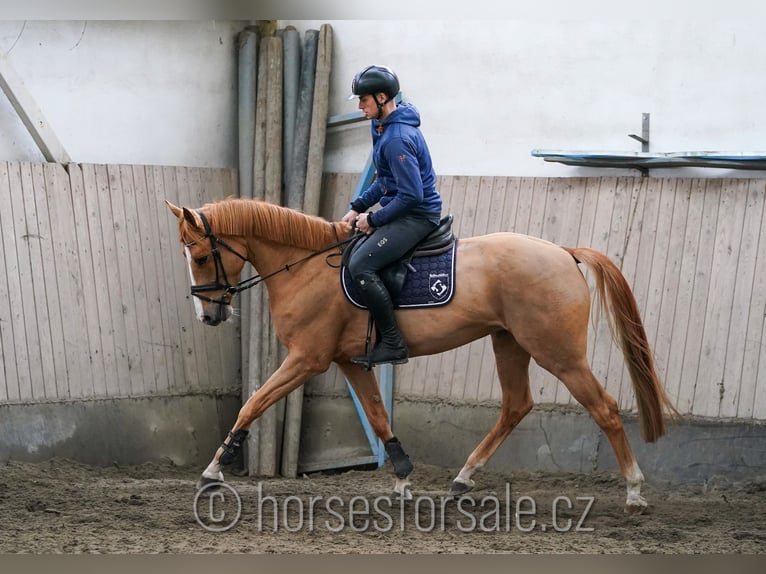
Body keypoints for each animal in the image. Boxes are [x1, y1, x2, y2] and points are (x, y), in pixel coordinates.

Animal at [168, 199, 680, 516]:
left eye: (200, 256)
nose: (208, 315)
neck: (307, 267)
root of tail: (563, 252)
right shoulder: (349, 361)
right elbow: (377, 417)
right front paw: (401, 478)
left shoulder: (307, 358)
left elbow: (254, 402)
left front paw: (213, 470)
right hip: (509, 343)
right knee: (516, 406)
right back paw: (462, 479)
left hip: (557, 352)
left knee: (604, 408)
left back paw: (634, 493)